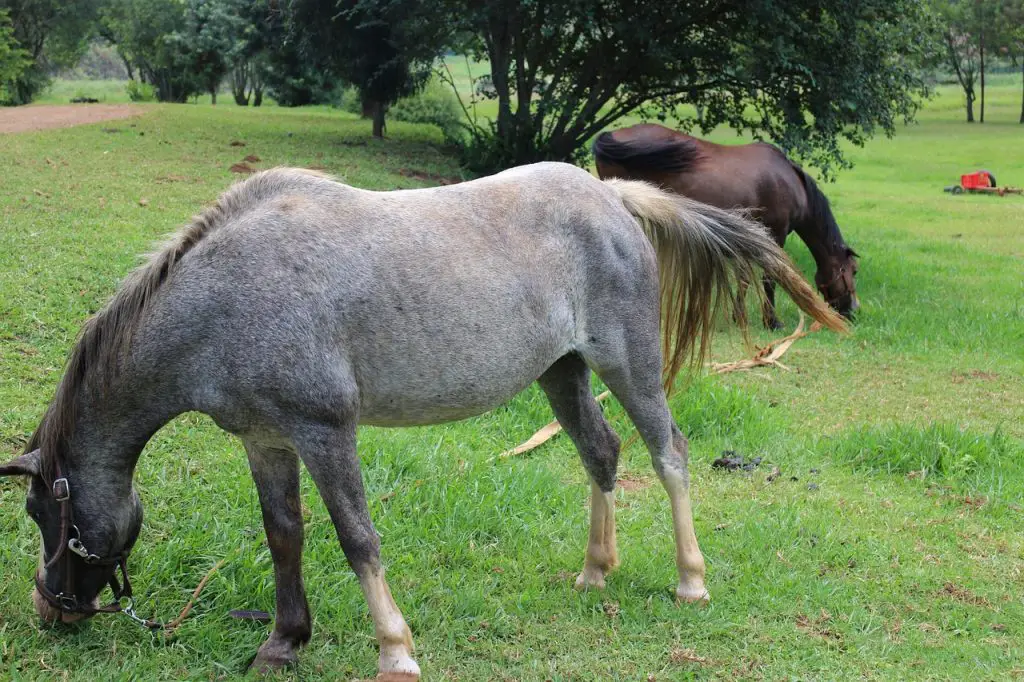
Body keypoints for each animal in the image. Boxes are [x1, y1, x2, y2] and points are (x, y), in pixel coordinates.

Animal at [0, 161, 843, 675]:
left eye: (45, 511)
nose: (51, 607)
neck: (229, 296)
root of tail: (613, 193)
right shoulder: (267, 441)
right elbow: (285, 537)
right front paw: (284, 642)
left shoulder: (324, 432)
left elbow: (356, 539)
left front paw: (394, 649)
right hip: (562, 373)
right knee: (602, 454)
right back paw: (594, 570)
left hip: (626, 365)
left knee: (669, 453)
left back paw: (691, 581)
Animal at [598, 125, 860, 331]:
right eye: (853, 271)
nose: (853, 312)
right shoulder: (775, 234)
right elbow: (769, 277)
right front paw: (772, 321)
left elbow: (744, 277)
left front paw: (739, 316)